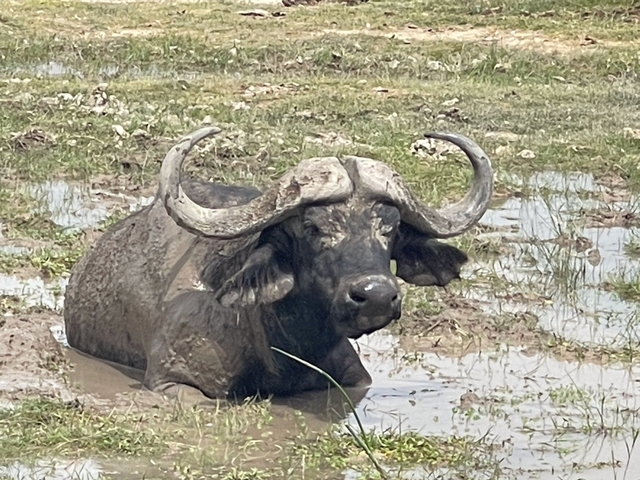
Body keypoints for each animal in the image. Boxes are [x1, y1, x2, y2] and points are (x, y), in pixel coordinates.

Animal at [64, 127, 493, 401]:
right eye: (312, 227)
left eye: (390, 227)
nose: (374, 295)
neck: (284, 342)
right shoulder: (173, 381)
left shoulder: (352, 377)